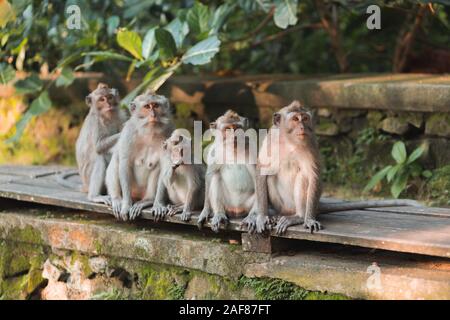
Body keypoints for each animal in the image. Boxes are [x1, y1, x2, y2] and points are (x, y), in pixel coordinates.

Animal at [105, 89, 174, 221]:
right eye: (147, 106)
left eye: (156, 105)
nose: (153, 115)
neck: (149, 133)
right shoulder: (128, 132)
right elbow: (124, 164)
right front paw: (126, 205)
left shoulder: (169, 134)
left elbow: (166, 167)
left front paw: (158, 204)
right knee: (117, 160)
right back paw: (117, 199)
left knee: (157, 168)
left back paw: (148, 200)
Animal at [243, 100, 422, 235]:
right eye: (295, 119)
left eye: (305, 118)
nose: (302, 127)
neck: (289, 141)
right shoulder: (270, 139)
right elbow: (262, 170)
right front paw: (261, 217)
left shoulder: (310, 141)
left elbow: (313, 175)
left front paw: (309, 220)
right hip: (281, 204)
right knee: (271, 176)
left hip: (297, 204)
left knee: (303, 177)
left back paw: (299, 217)